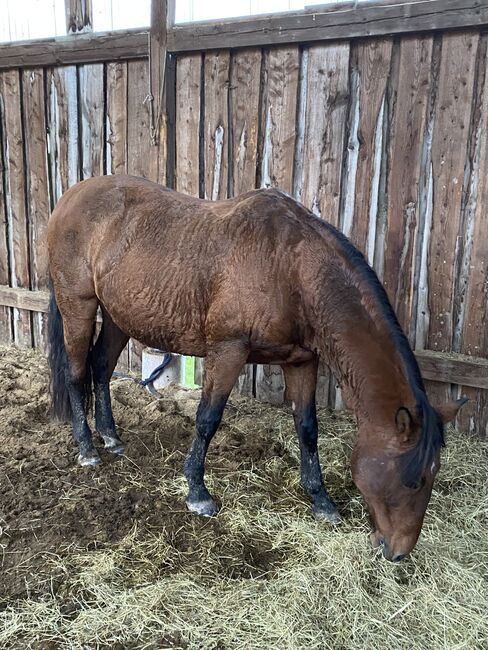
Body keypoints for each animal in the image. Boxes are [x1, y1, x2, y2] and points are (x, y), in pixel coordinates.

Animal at [47, 175, 468, 560]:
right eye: (414, 480)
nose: (398, 553)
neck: (293, 270)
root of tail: (70, 197)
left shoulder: (302, 361)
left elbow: (307, 428)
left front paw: (321, 501)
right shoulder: (228, 352)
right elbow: (207, 419)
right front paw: (197, 493)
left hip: (118, 316)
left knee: (102, 368)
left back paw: (111, 437)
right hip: (78, 306)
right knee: (77, 374)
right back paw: (88, 449)